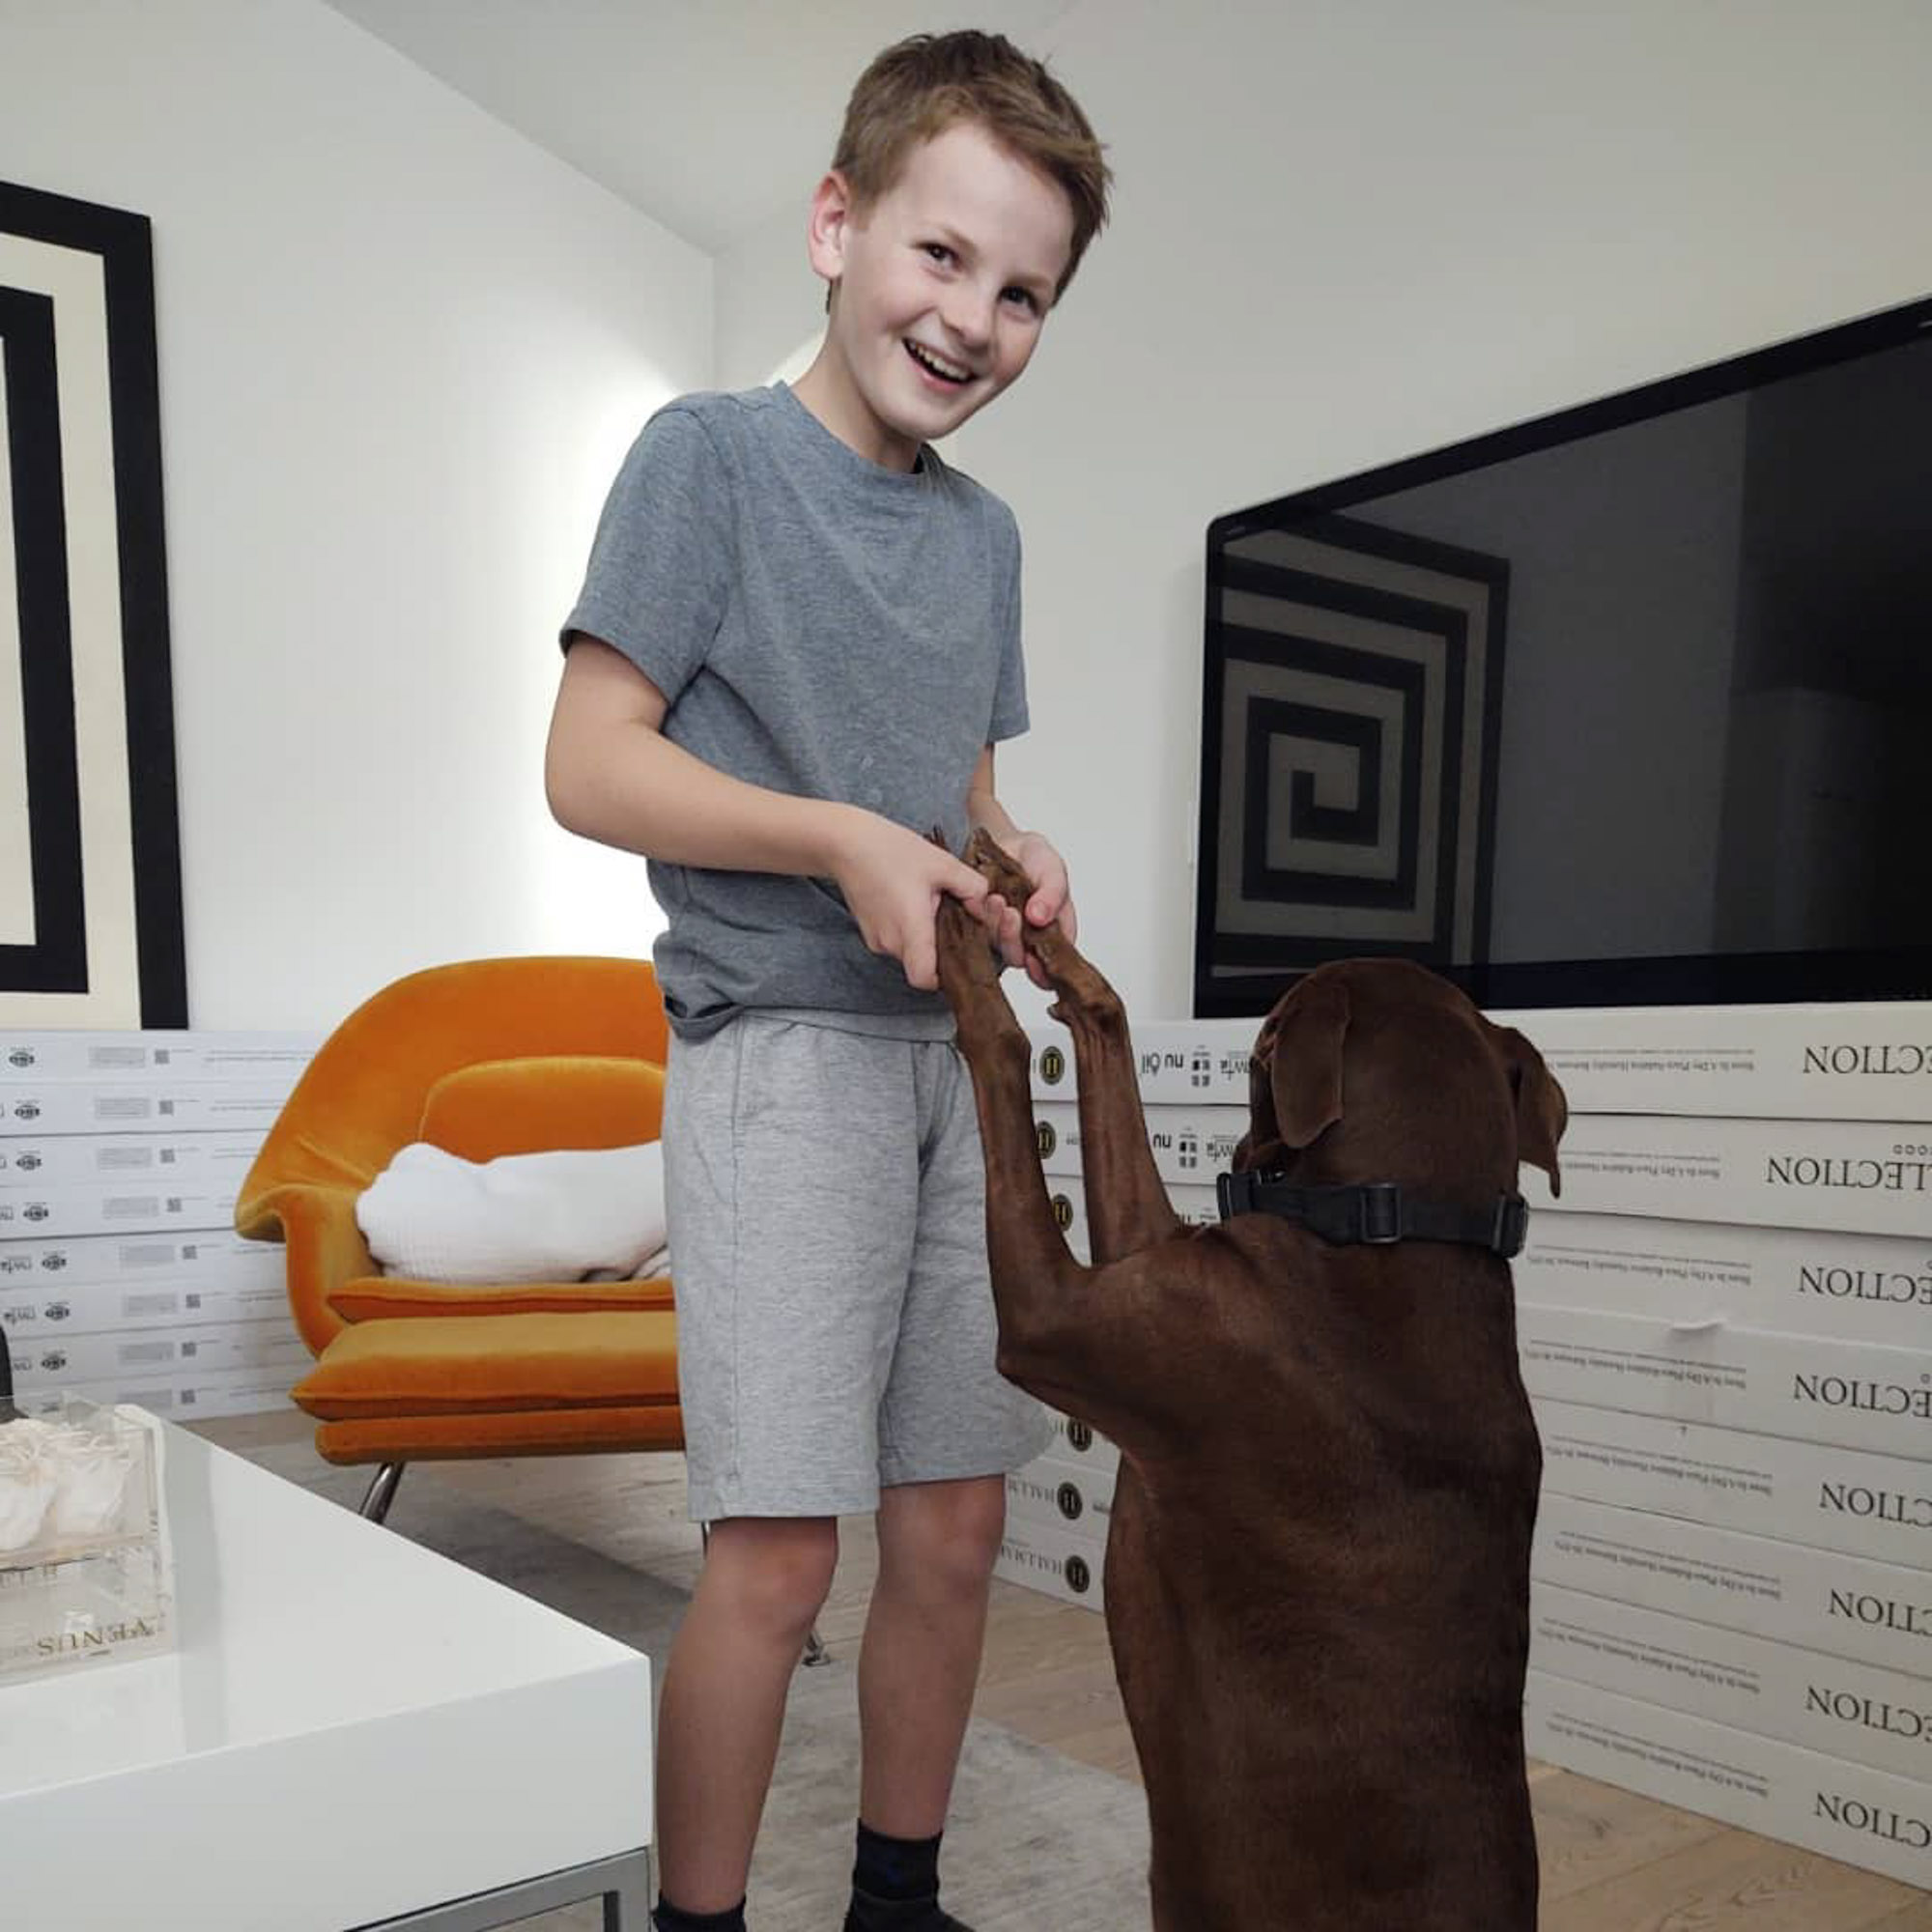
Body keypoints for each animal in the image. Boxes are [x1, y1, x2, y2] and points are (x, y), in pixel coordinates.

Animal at [939, 831, 1569, 1932]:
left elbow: (1008, 1065)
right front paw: (1031, 913)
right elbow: (1106, 1039)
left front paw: (971, 961)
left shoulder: (1058, 1321)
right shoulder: (1153, 1257)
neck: (1389, 1231)